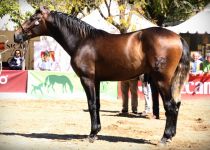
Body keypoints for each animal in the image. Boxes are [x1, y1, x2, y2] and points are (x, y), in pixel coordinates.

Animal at [13, 7, 190, 144]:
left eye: (34, 19)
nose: (16, 35)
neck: (82, 40)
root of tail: (178, 37)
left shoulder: (87, 79)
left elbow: (91, 105)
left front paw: (91, 135)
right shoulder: (96, 81)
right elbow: (97, 105)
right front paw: (96, 131)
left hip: (161, 80)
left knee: (171, 106)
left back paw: (165, 138)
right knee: (176, 104)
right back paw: (171, 135)